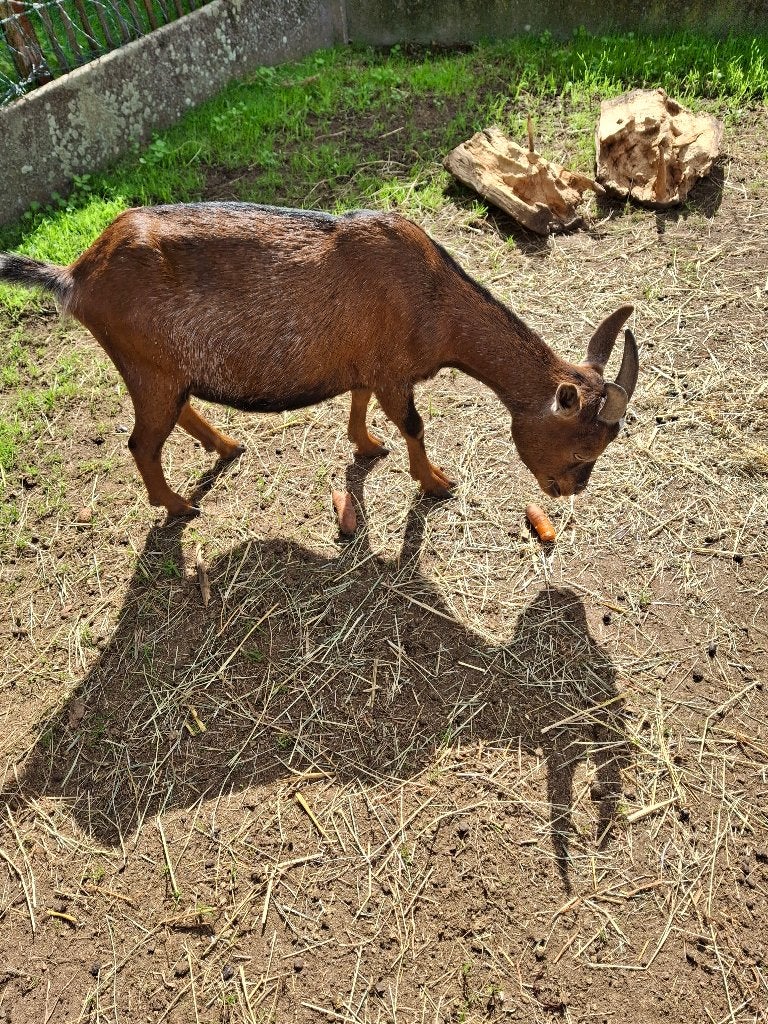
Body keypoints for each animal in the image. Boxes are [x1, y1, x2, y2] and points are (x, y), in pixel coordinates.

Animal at [0, 203, 639, 517]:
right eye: (583, 449)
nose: (566, 492)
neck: (432, 296)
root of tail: (77, 276)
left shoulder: (367, 363)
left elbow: (359, 402)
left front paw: (367, 446)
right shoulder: (393, 372)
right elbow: (414, 425)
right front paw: (435, 482)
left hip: (162, 368)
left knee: (174, 415)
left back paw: (226, 447)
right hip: (146, 364)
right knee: (141, 442)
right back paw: (179, 507)